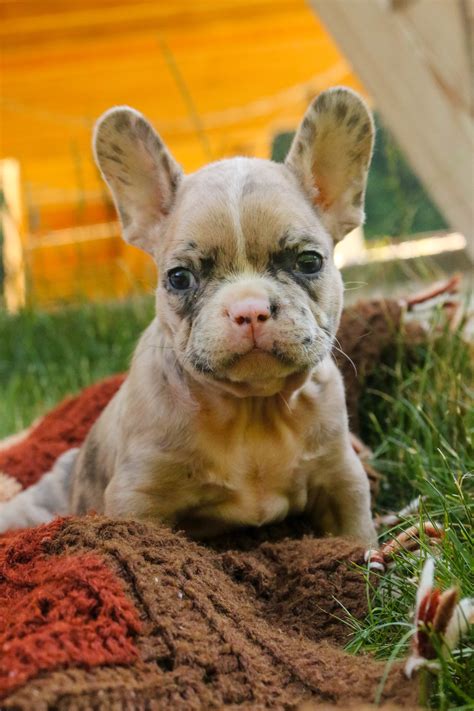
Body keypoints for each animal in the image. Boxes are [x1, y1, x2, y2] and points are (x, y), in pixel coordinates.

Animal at [4, 87, 378, 544]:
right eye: (179, 278)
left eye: (309, 261)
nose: (249, 309)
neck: (252, 411)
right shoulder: (139, 496)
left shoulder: (341, 478)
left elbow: (356, 538)